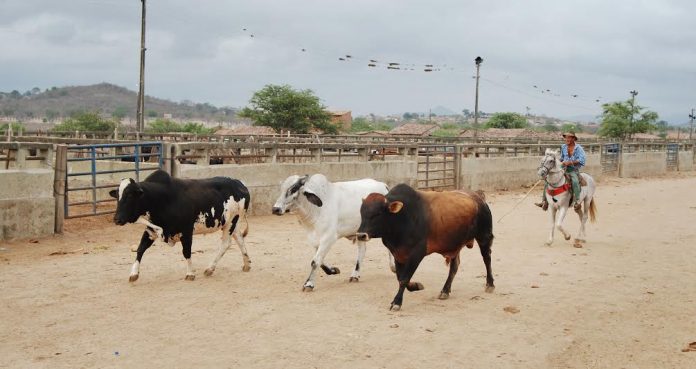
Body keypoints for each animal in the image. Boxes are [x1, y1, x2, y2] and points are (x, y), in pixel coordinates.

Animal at [109, 170, 250, 282]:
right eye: (117, 196)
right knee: (240, 238)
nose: (117, 219)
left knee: (226, 243)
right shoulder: (151, 230)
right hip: (232, 223)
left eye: (130, 195)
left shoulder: (186, 231)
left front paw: (190, 273)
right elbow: (140, 249)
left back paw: (210, 268)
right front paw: (134, 273)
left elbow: (186, 252)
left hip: (231, 222)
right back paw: (246, 264)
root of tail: (240, 184)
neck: (161, 199)